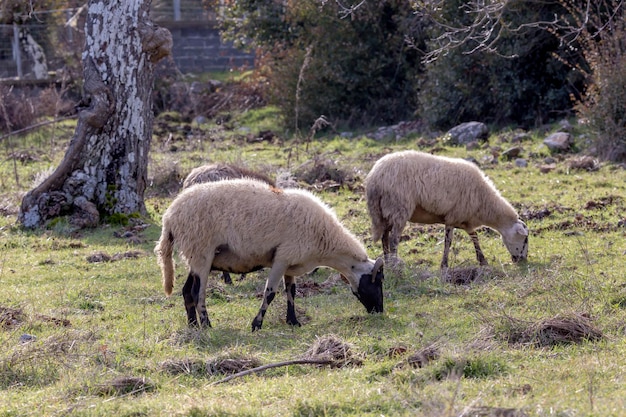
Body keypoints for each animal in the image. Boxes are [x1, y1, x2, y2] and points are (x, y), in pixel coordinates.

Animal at [154, 177, 382, 330]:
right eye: (377, 282)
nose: (379, 311)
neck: (326, 241)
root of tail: (170, 216)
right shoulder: (281, 258)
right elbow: (270, 292)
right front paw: (256, 324)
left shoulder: (290, 261)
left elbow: (291, 291)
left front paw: (293, 321)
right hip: (202, 251)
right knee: (196, 292)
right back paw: (207, 325)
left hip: (195, 256)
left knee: (186, 291)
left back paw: (193, 326)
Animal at [364, 150, 524, 270]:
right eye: (525, 238)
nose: (521, 260)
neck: (485, 204)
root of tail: (374, 178)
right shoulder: (453, 217)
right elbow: (448, 241)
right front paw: (444, 264)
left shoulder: (463, 219)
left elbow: (474, 237)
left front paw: (482, 260)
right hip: (398, 208)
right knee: (393, 239)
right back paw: (394, 264)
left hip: (386, 211)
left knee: (384, 237)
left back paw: (387, 261)